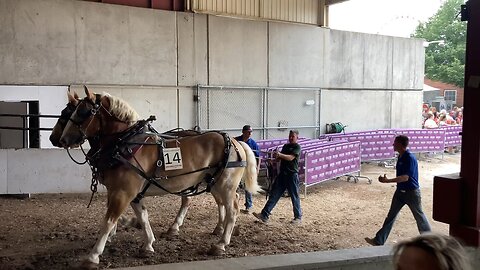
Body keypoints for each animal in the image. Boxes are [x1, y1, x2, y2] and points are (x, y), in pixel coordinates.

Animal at [59, 88, 258, 268]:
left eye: (83, 112)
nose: (62, 139)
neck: (126, 144)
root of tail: (236, 141)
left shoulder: (123, 192)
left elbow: (108, 221)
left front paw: (93, 256)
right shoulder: (132, 193)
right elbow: (142, 215)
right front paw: (147, 244)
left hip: (225, 184)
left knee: (232, 209)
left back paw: (221, 243)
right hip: (214, 183)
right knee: (222, 203)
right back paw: (217, 229)